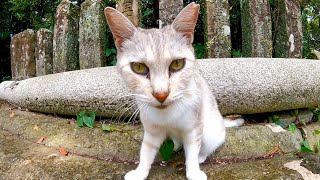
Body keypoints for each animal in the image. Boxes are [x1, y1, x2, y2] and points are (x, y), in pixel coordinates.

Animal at [104, 2, 242, 180]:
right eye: (139, 67)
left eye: (177, 64)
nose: (161, 94)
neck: (167, 115)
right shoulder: (152, 131)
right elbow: (146, 151)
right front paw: (140, 172)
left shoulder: (194, 129)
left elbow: (192, 150)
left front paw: (194, 171)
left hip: (210, 132)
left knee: (208, 146)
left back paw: (201, 156)